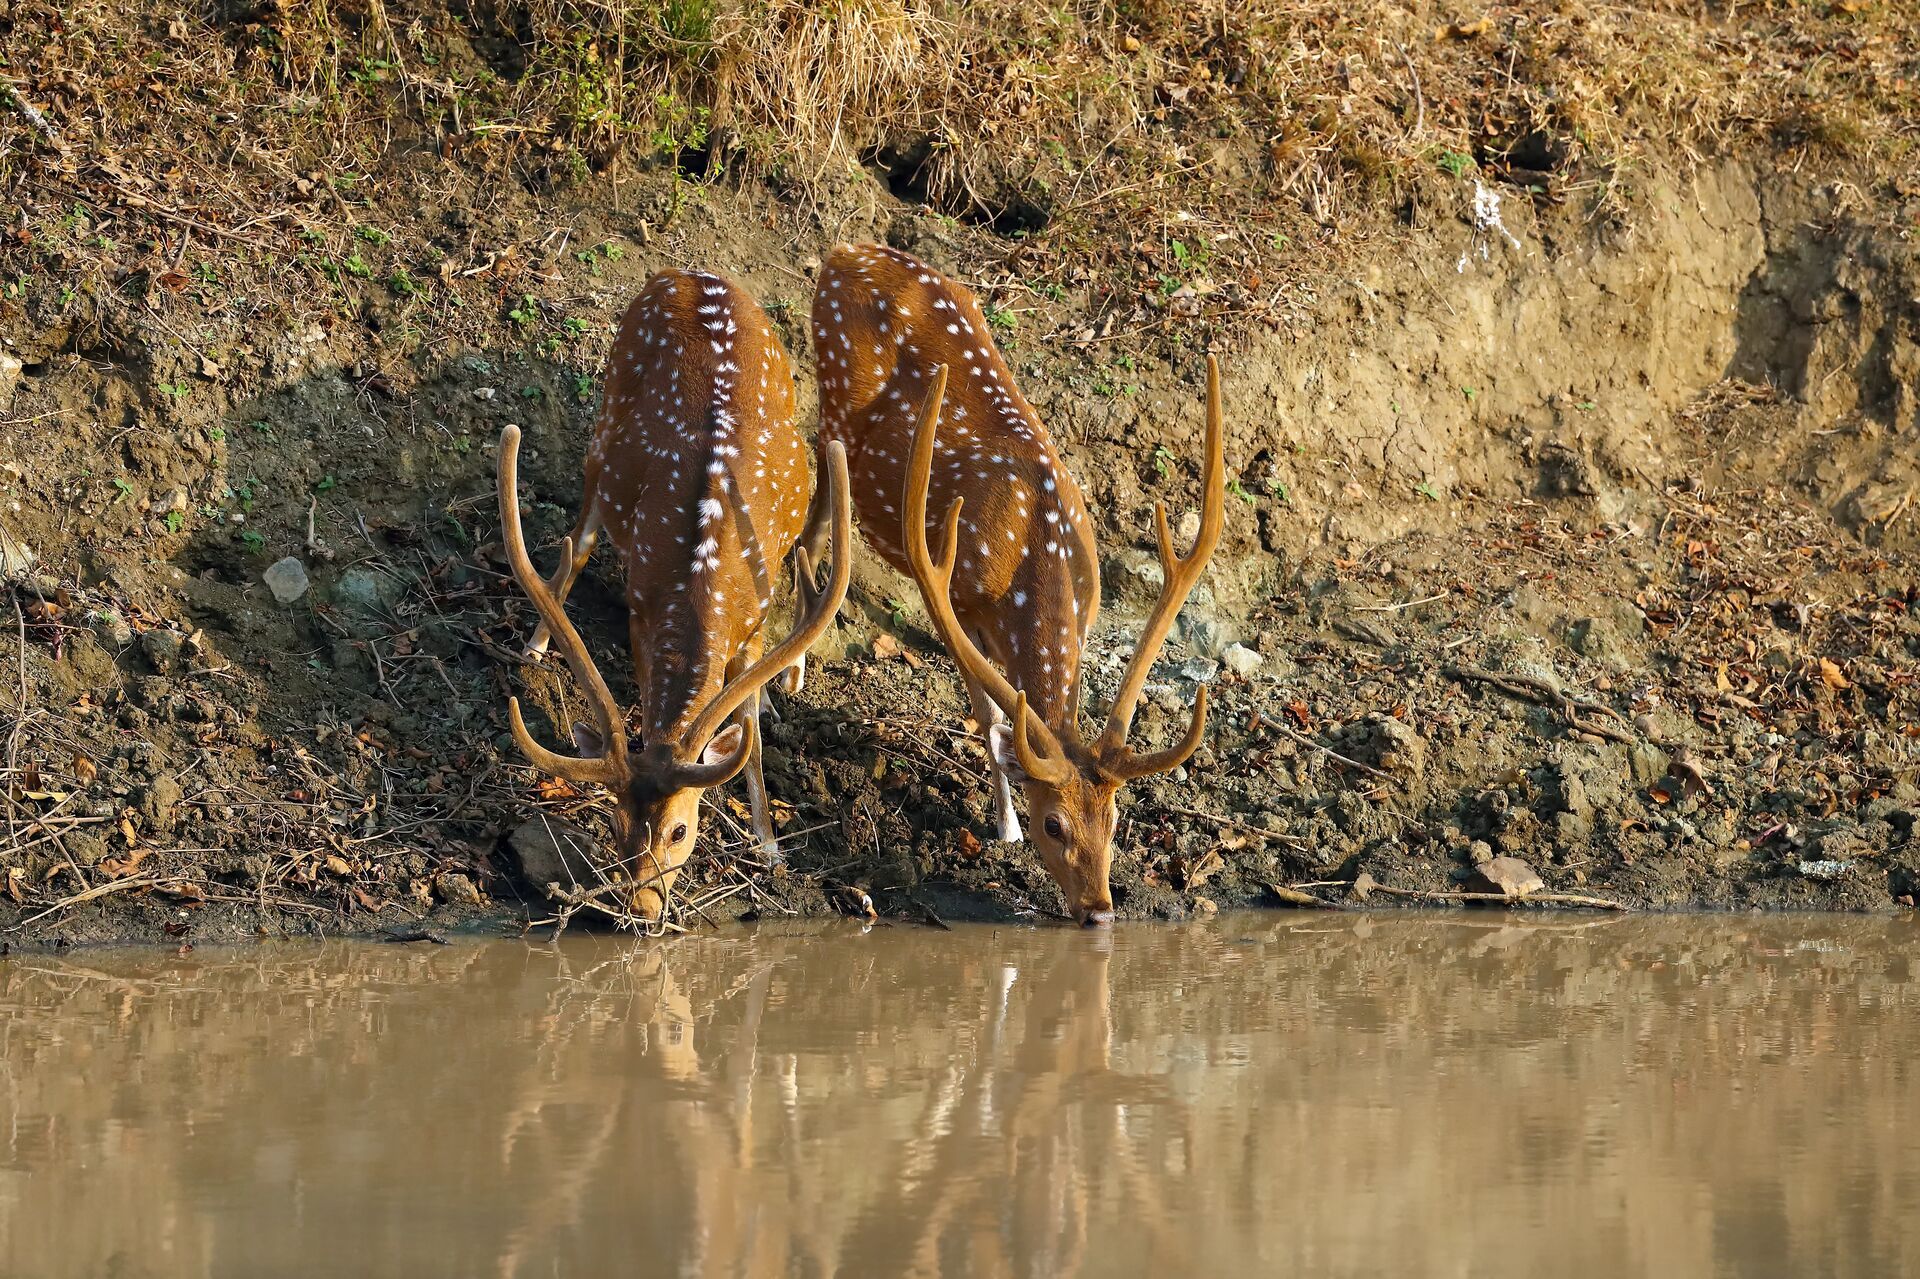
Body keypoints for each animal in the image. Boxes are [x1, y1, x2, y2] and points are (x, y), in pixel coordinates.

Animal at [503, 266, 848, 917]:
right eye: (615, 825)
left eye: (681, 831)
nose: (641, 904)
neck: (703, 587)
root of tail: (685, 274)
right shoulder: (642, 607)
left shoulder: (757, 619)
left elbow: (750, 738)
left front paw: (770, 845)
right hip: (606, 428)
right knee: (579, 538)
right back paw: (535, 644)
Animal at [802, 243, 1221, 921]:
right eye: (1055, 825)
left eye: (1115, 820)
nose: (1100, 909)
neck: (1033, 547)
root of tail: (845, 252)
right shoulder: (952, 595)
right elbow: (989, 716)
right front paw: (1004, 827)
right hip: (831, 408)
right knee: (813, 519)